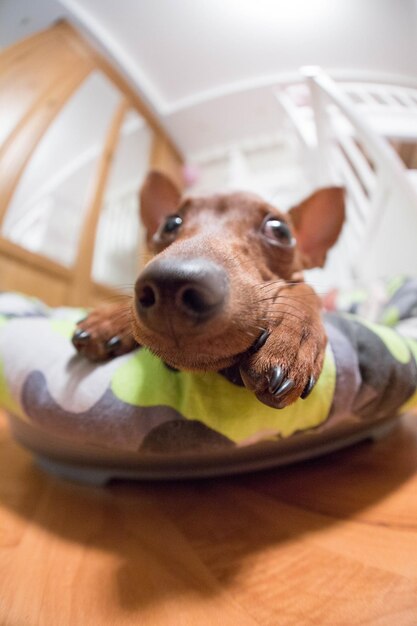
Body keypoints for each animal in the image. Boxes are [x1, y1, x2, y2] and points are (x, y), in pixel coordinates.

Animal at [72, 169, 344, 410]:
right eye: (169, 224)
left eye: (281, 230)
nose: (170, 285)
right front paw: (109, 320)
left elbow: (306, 290)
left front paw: (292, 333)